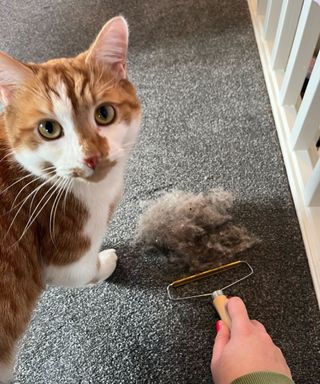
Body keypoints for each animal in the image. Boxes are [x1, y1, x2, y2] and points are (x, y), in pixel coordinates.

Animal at [0, 16, 141, 382]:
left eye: (104, 113)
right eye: (48, 129)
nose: (92, 157)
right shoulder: (68, 254)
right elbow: (87, 270)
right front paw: (106, 262)